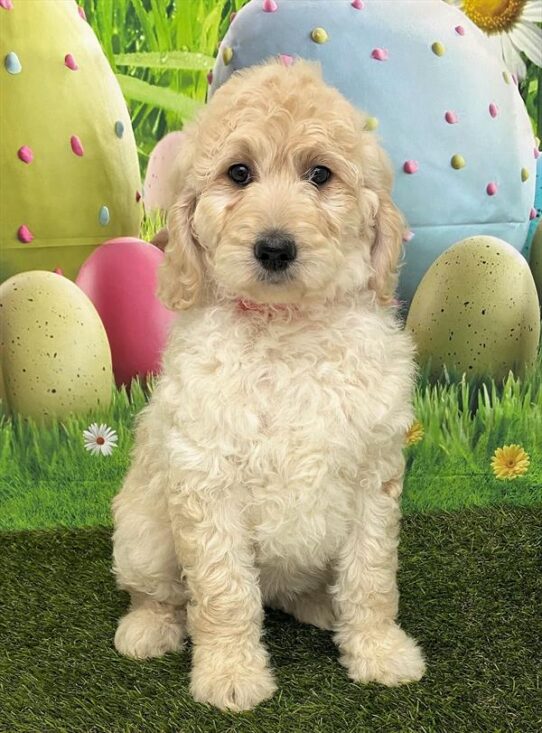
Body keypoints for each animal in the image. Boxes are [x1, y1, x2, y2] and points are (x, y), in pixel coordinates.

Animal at [112, 60, 428, 712]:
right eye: (239, 173)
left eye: (320, 174)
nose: (275, 248)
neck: (286, 329)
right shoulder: (207, 480)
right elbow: (224, 592)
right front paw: (231, 673)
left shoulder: (373, 475)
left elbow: (371, 577)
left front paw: (380, 652)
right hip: (142, 533)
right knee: (161, 592)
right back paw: (149, 627)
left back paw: (320, 606)